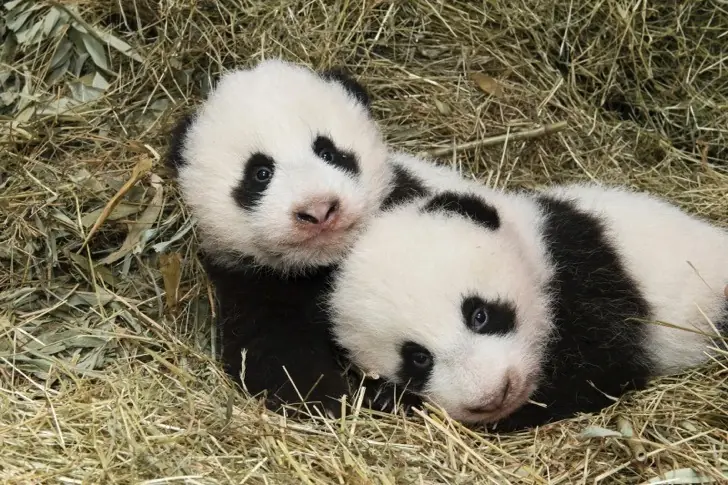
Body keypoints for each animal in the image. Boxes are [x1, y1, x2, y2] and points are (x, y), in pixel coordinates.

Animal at [164, 58, 465, 417]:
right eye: (260, 173)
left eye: (328, 152)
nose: (319, 209)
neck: (323, 263)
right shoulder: (249, 281)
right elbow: (274, 350)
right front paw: (327, 400)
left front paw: (387, 394)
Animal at [327, 182, 728, 431]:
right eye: (418, 358)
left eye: (479, 315)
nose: (494, 395)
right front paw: (387, 397)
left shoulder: (588, 275)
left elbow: (601, 369)